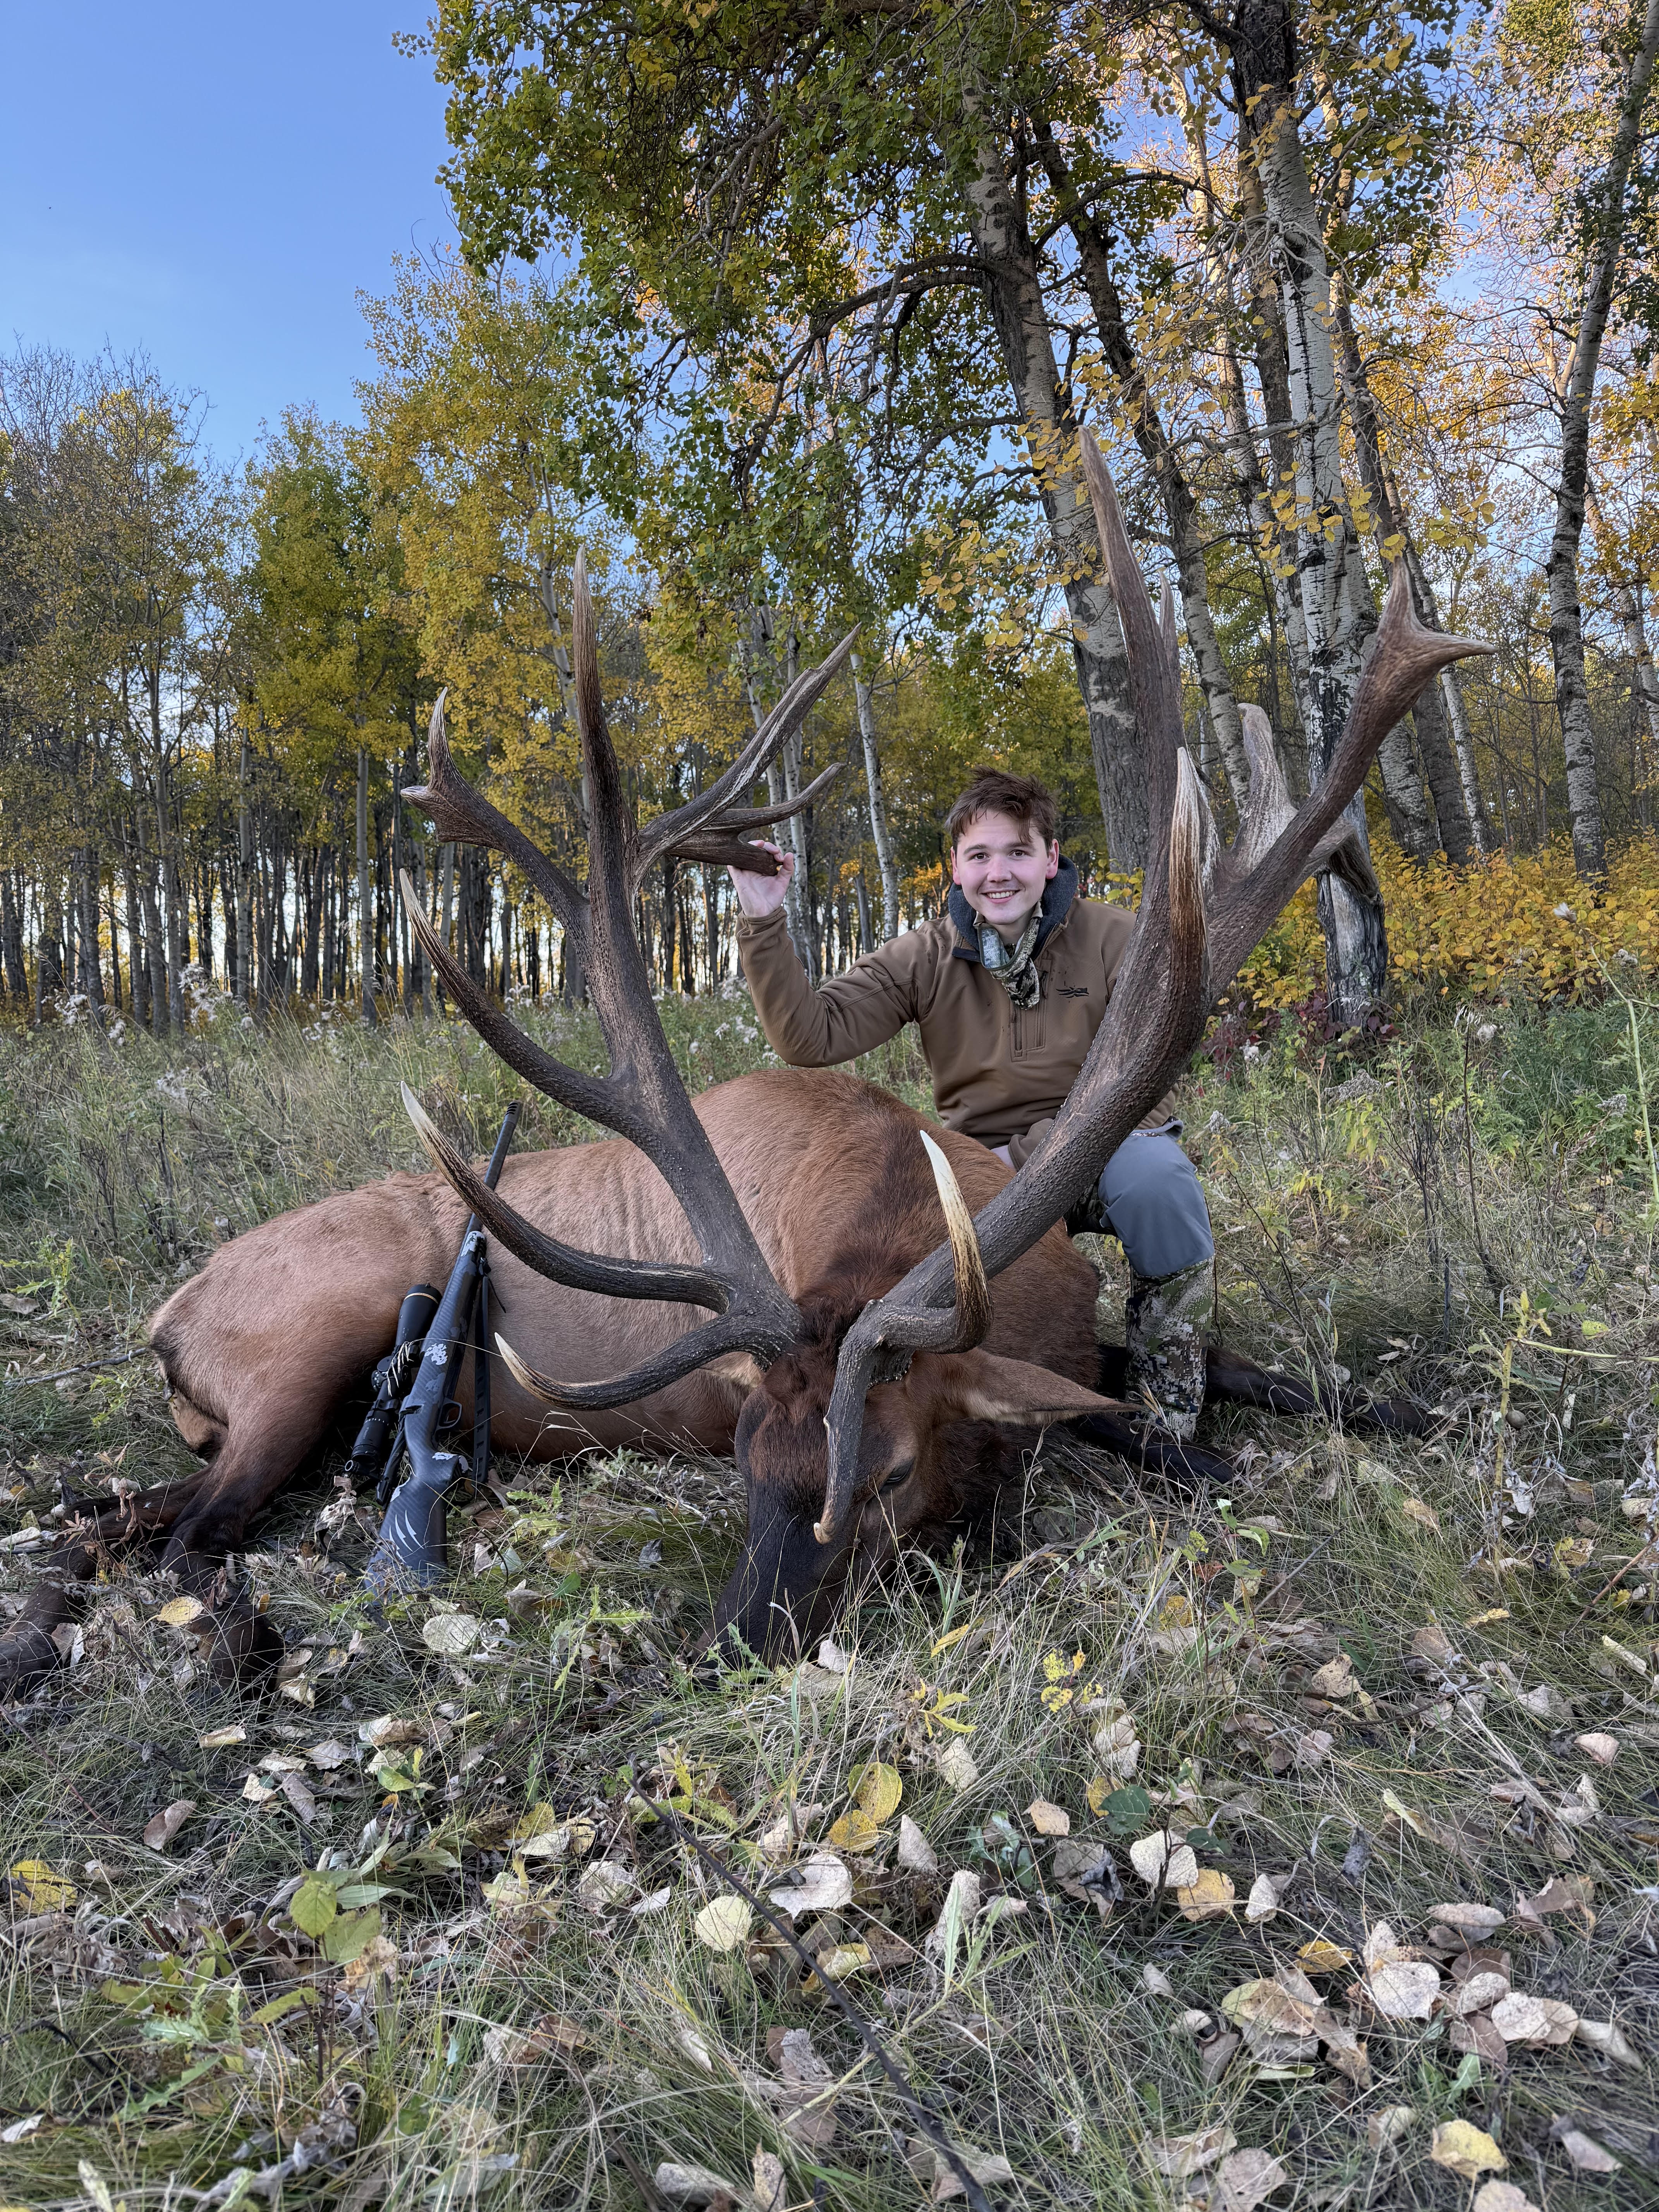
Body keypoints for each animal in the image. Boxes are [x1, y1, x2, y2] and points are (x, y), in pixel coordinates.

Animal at [0, 436, 1489, 1701]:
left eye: (886, 1474)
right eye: (739, 1465)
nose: (728, 1650)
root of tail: (170, 1313)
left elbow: (1233, 1370)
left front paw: (1404, 1404)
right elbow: (1143, 1419)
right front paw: (1208, 1453)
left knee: (103, 1515)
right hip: (302, 1347)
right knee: (182, 1532)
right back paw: (234, 1643)